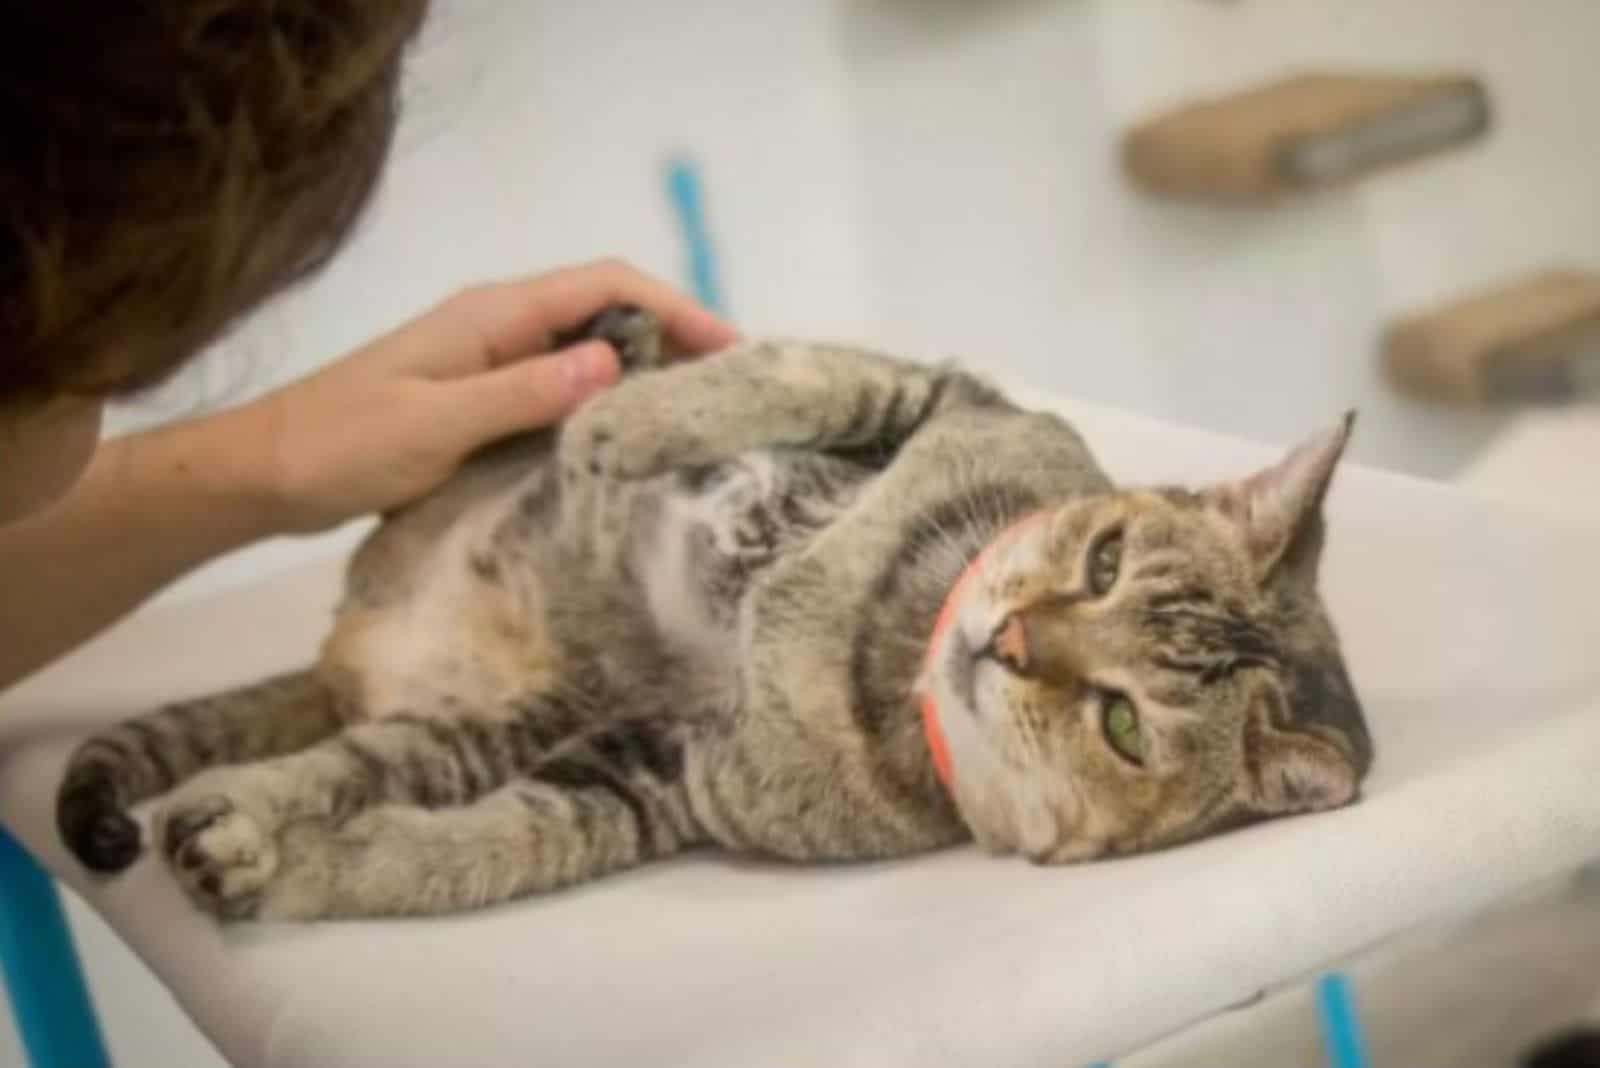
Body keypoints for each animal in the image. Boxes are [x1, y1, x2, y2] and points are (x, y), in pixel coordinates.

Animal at [56, 306, 1369, 920]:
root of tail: (349, 651)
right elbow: (773, 376)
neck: (872, 642)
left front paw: (318, 875)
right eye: (1101, 560)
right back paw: (613, 348)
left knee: (341, 766)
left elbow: (480, 849)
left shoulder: (651, 772)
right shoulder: (935, 393)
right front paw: (617, 425)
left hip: (487, 723)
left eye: (1125, 727)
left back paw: (233, 831)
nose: (1004, 640)